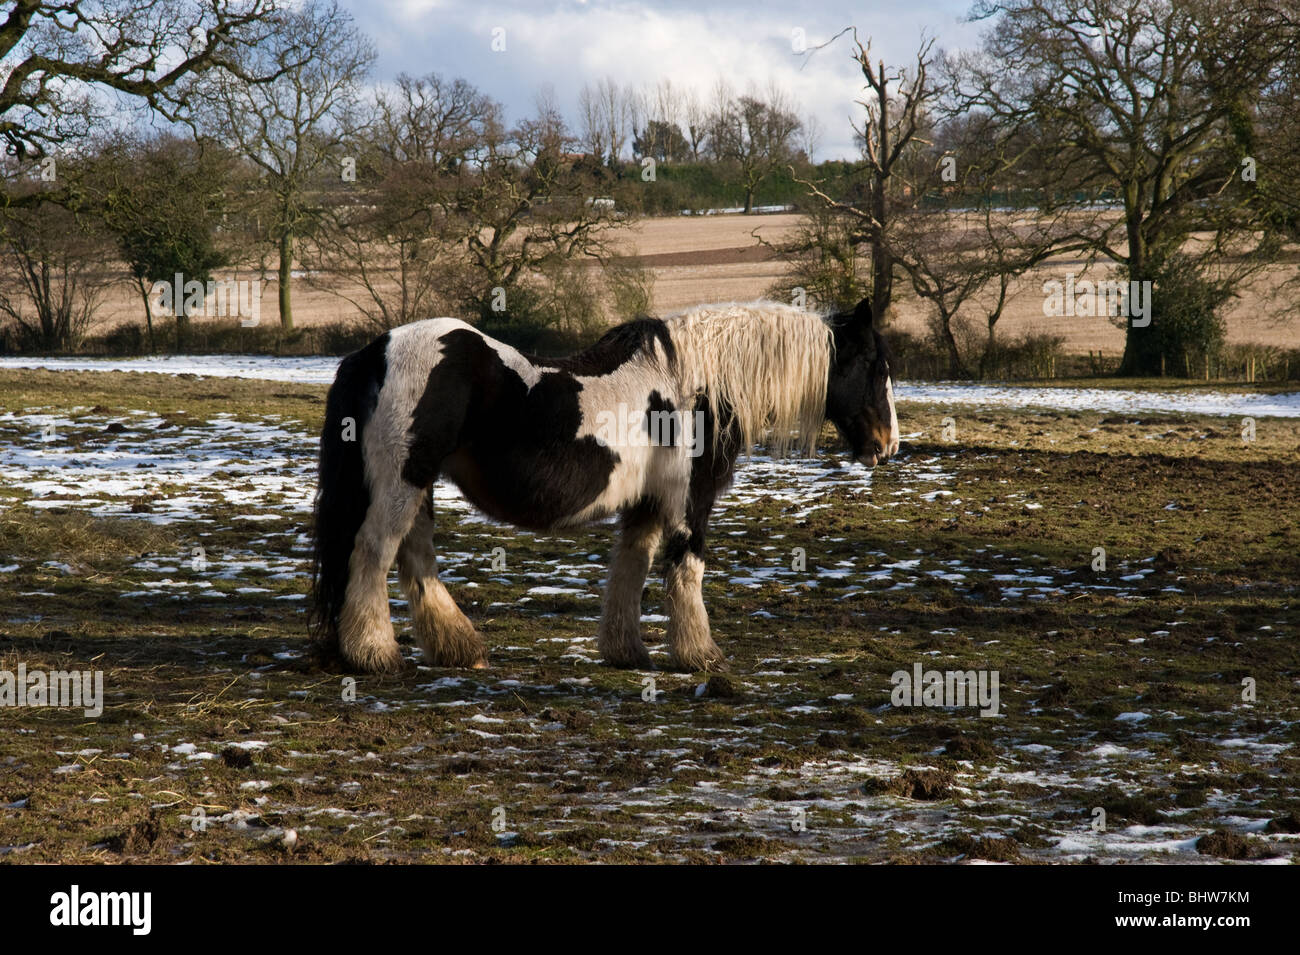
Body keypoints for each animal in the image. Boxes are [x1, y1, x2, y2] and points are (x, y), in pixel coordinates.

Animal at [309, 297, 899, 675]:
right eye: (875, 366)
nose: (887, 443)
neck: (696, 386)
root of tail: (374, 352)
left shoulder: (646, 503)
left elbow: (631, 568)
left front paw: (626, 651)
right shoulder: (690, 502)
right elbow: (686, 569)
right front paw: (701, 656)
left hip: (417, 486)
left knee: (415, 559)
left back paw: (457, 648)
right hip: (401, 481)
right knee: (373, 554)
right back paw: (375, 654)